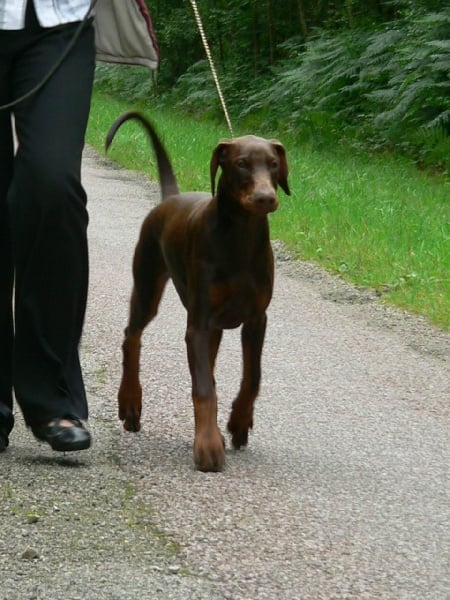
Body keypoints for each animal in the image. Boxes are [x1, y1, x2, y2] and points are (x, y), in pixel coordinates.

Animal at [107, 111, 290, 468]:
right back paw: (131, 402)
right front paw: (207, 445)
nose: (265, 198)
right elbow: (204, 388)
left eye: (274, 164)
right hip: (148, 285)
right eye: (242, 163)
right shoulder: (199, 323)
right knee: (131, 336)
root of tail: (170, 198)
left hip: (214, 326)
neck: (240, 239)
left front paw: (239, 421)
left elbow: (252, 377)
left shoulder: (257, 319)